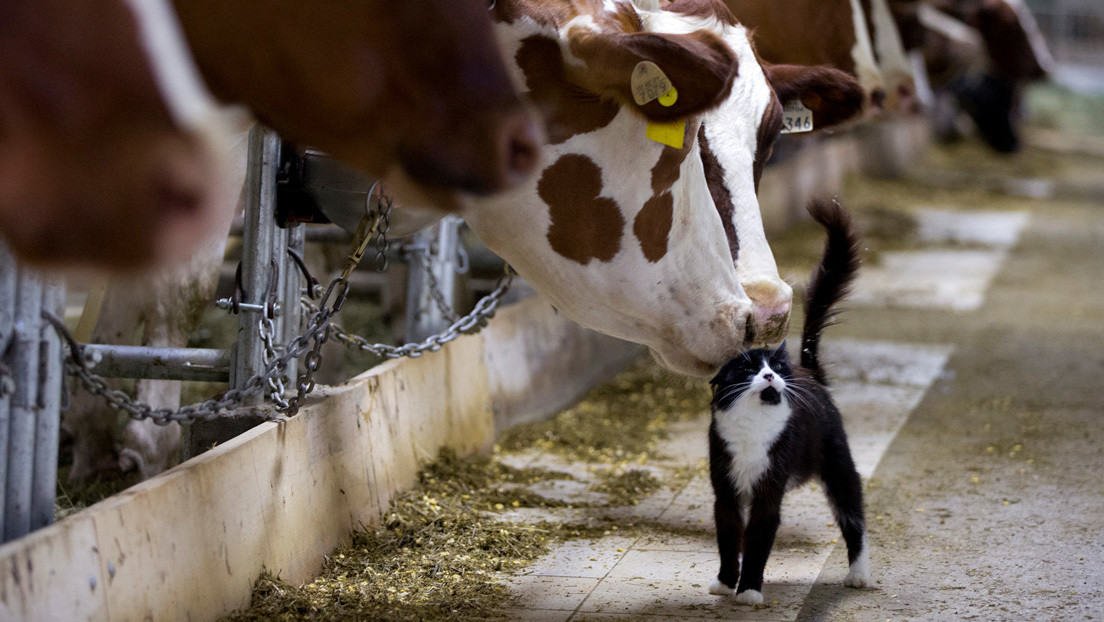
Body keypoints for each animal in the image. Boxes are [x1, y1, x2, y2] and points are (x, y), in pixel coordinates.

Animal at [706, 201, 869, 609]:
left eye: (775, 368)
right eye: (747, 369)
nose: (770, 375)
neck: (753, 428)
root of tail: (809, 370)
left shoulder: (768, 492)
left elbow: (759, 540)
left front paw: (749, 590)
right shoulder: (725, 491)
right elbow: (729, 537)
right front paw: (725, 582)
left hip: (838, 465)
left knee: (854, 517)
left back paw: (859, 575)